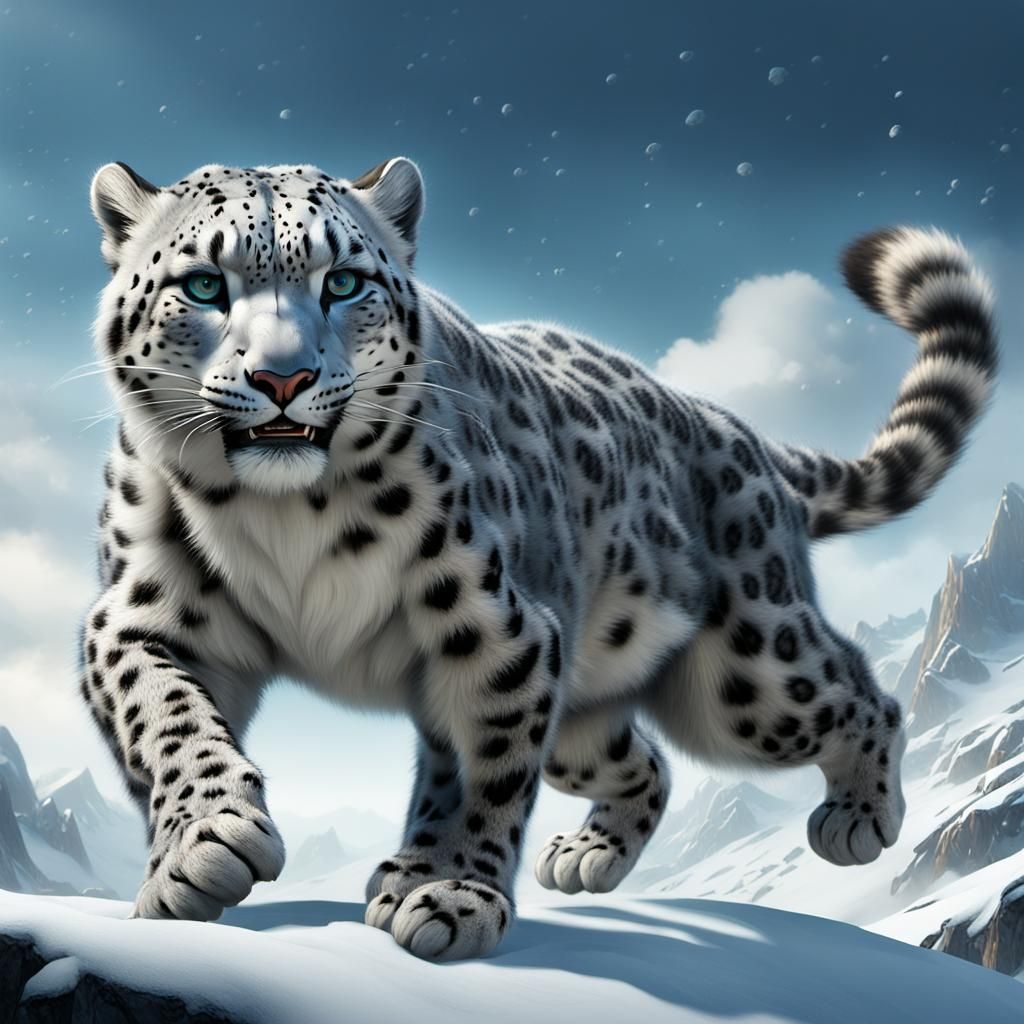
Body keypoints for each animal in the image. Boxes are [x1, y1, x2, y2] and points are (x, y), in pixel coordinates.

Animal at [78, 155, 997, 961]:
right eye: (204, 284)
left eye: (344, 283)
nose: (283, 379)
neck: (285, 517)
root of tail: (732, 429)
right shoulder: (141, 617)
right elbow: (167, 717)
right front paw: (197, 851)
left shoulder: (496, 630)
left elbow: (484, 774)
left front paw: (452, 892)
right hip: (585, 716)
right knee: (643, 760)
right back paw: (585, 855)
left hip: (748, 679)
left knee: (856, 692)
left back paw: (859, 818)